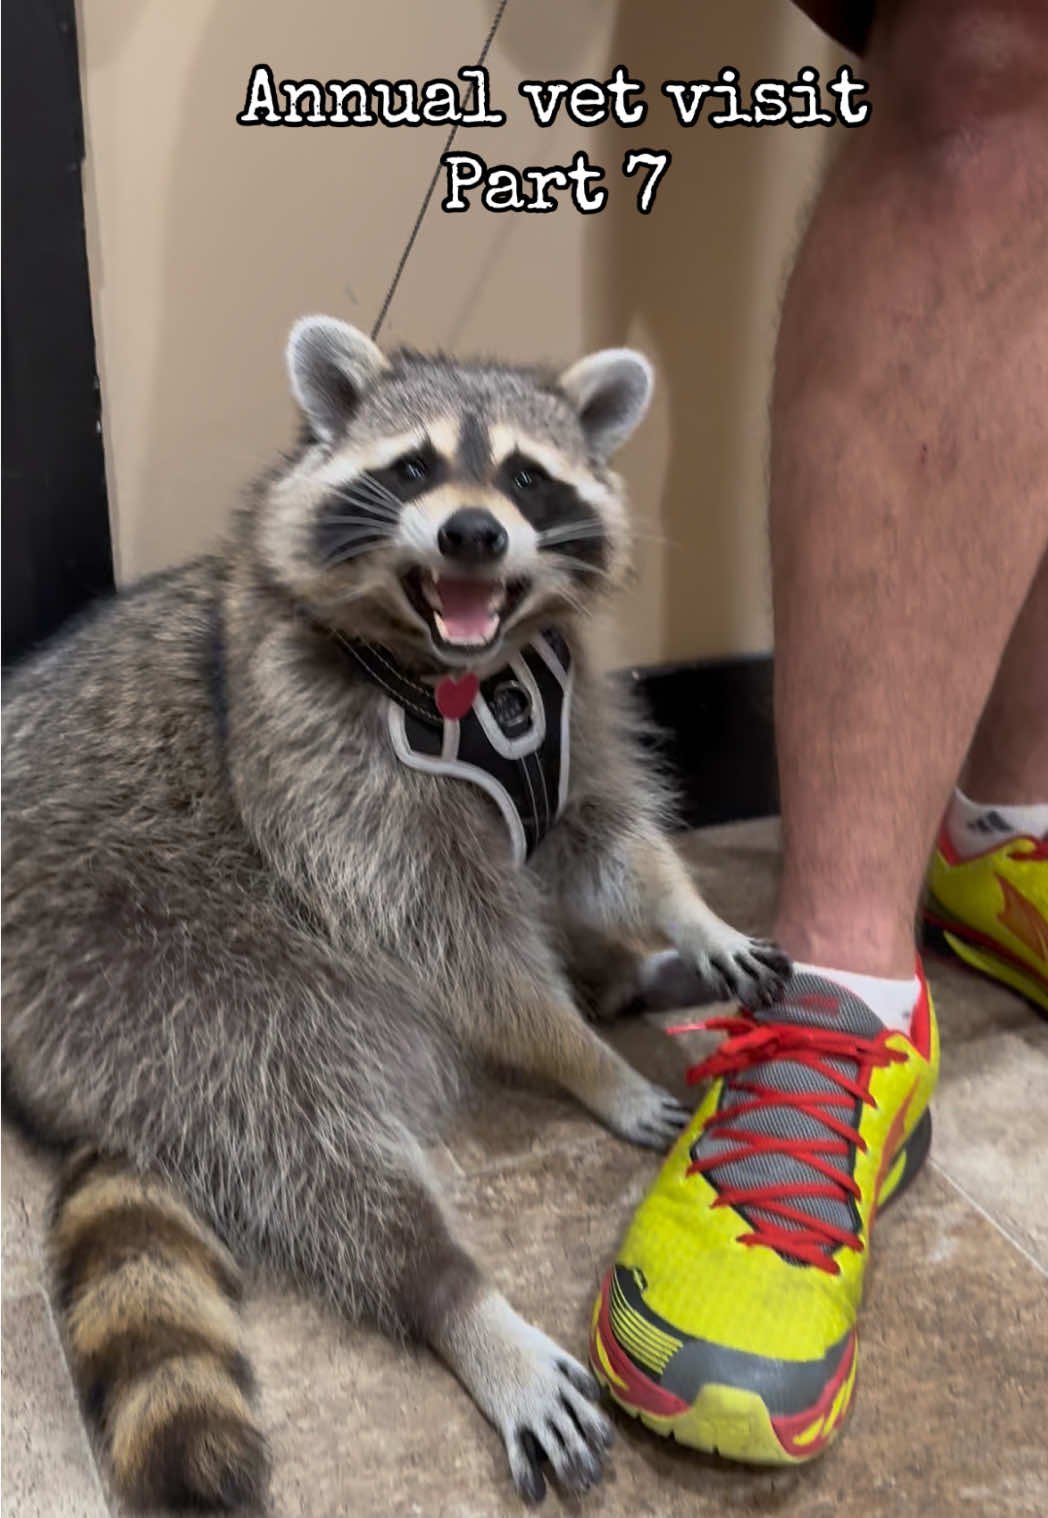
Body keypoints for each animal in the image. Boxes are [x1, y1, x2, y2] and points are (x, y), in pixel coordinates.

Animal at [2, 319, 789, 1510]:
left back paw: (633, 974)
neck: (471, 674)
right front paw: (582, 1061)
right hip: (155, 978)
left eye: (525, 476)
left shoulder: (573, 714)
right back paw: (460, 1300)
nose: (473, 532)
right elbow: (462, 955)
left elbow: (606, 843)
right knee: (306, 1136)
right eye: (413, 469)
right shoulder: (322, 768)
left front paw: (690, 920)